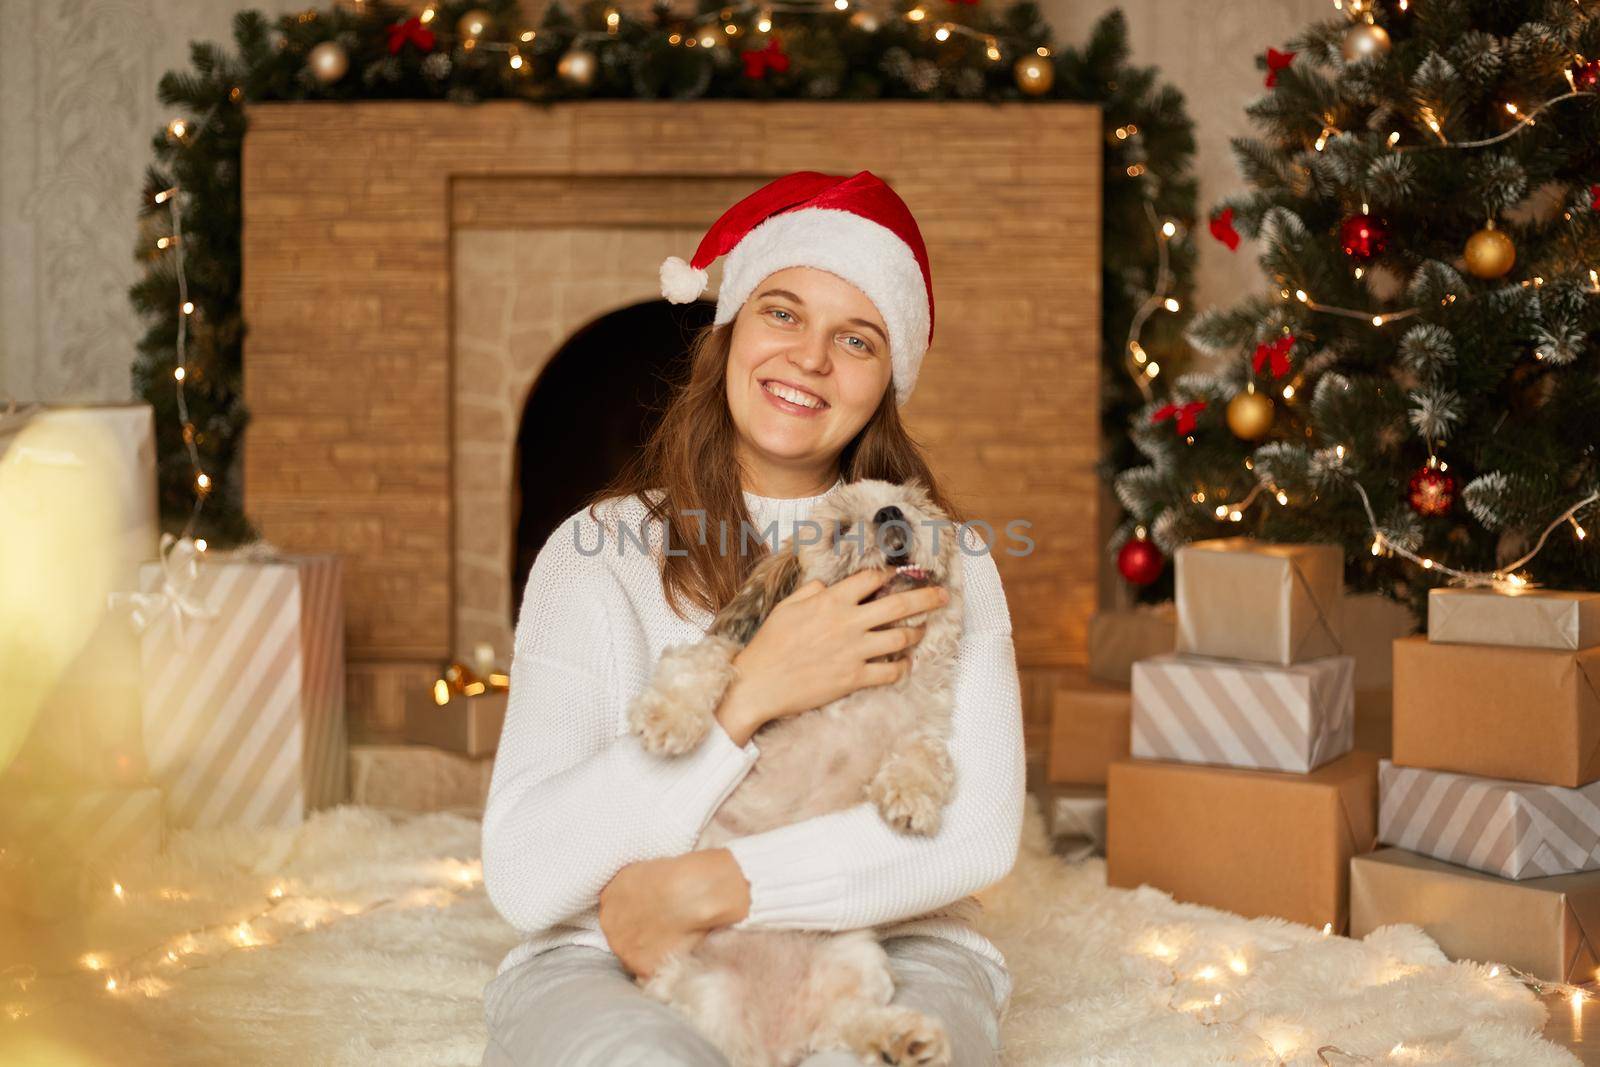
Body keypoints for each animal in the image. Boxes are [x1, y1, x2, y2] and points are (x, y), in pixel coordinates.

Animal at [624, 479, 960, 1067]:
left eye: (911, 505)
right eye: (841, 530)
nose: (890, 513)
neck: (866, 684)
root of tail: (774, 1041)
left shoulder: (922, 725)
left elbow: (927, 754)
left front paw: (911, 797)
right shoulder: (725, 661)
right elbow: (706, 662)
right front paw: (670, 718)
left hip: (853, 958)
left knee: (847, 1022)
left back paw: (905, 1037)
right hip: (696, 990)